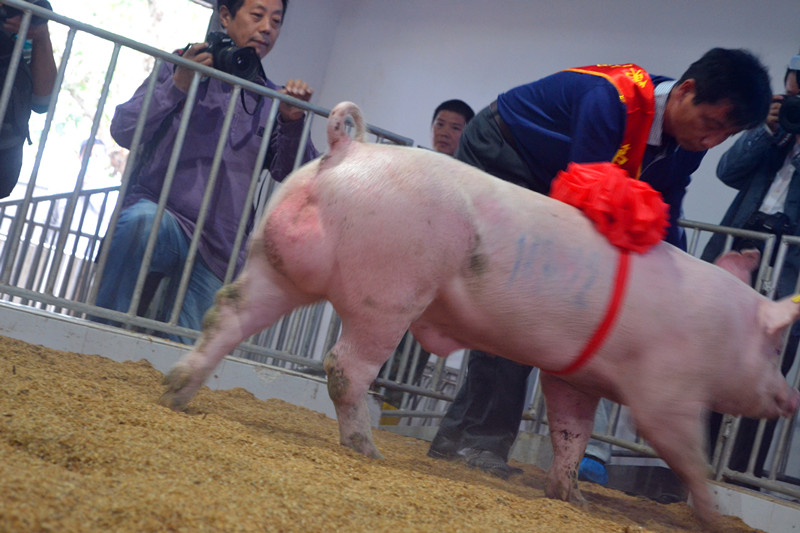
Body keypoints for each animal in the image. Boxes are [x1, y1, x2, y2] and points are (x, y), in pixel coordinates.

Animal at [160, 101, 800, 523]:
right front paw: (715, 518)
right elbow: (687, 455)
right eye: (776, 347)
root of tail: (347, 149)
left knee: (226, 314)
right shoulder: (666, 390)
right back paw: (368, 450)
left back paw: (177, 392)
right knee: (345, 366)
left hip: (276, 264)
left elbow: (571, 432)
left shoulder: (573, 376)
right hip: (389, 289)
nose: (790, 398)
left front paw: (573, 498)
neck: (717, 328)